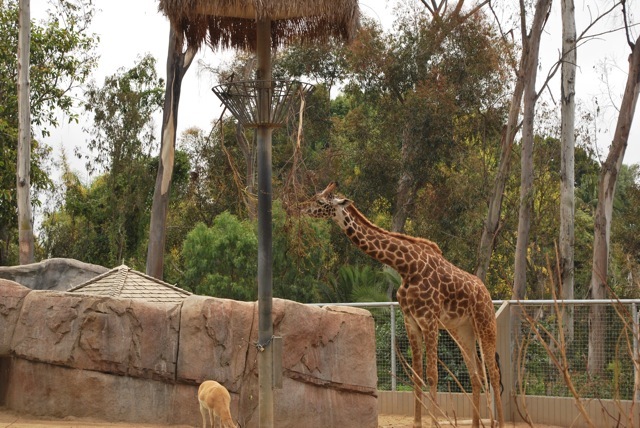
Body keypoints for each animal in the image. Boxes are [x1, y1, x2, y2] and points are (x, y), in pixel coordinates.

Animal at [300, 182, 504, 428]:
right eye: (314, 196)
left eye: (321, 201)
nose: (301, 207)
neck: (406, 266)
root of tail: (486, 292)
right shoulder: (411, 321)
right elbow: (417, 375)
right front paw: (417, 423)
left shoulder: (429, 320)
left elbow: (432, 375)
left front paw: (434, 423)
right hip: (461, 330)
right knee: (476, 374)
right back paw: (477, 424)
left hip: (485, 324)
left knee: (493, 372)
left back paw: (500, 423)